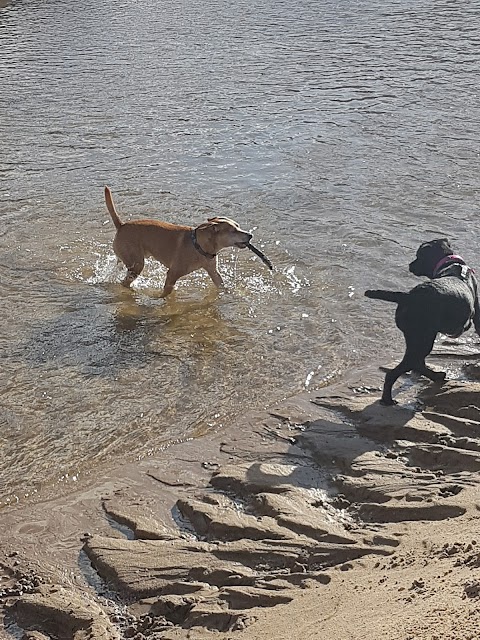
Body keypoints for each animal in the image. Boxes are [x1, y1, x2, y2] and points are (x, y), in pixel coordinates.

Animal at [103, 185, 253, 296]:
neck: (199, 246)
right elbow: (165, 293)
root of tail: (121, 225)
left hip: (127, 258)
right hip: (137, 264)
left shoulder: (213, 271)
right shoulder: (172, 274)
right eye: (233, 231)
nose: (250, 235)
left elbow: (221, 285)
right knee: (125, 282)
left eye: (238, 226)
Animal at [366, 240, 478, 404]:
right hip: (423, 339)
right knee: (399, 370)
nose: (410, 265)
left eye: (419, 256)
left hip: (417, 338)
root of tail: (408, 297)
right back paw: (388, 400)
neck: (450, 264)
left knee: (417, 363)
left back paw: (437, 376)